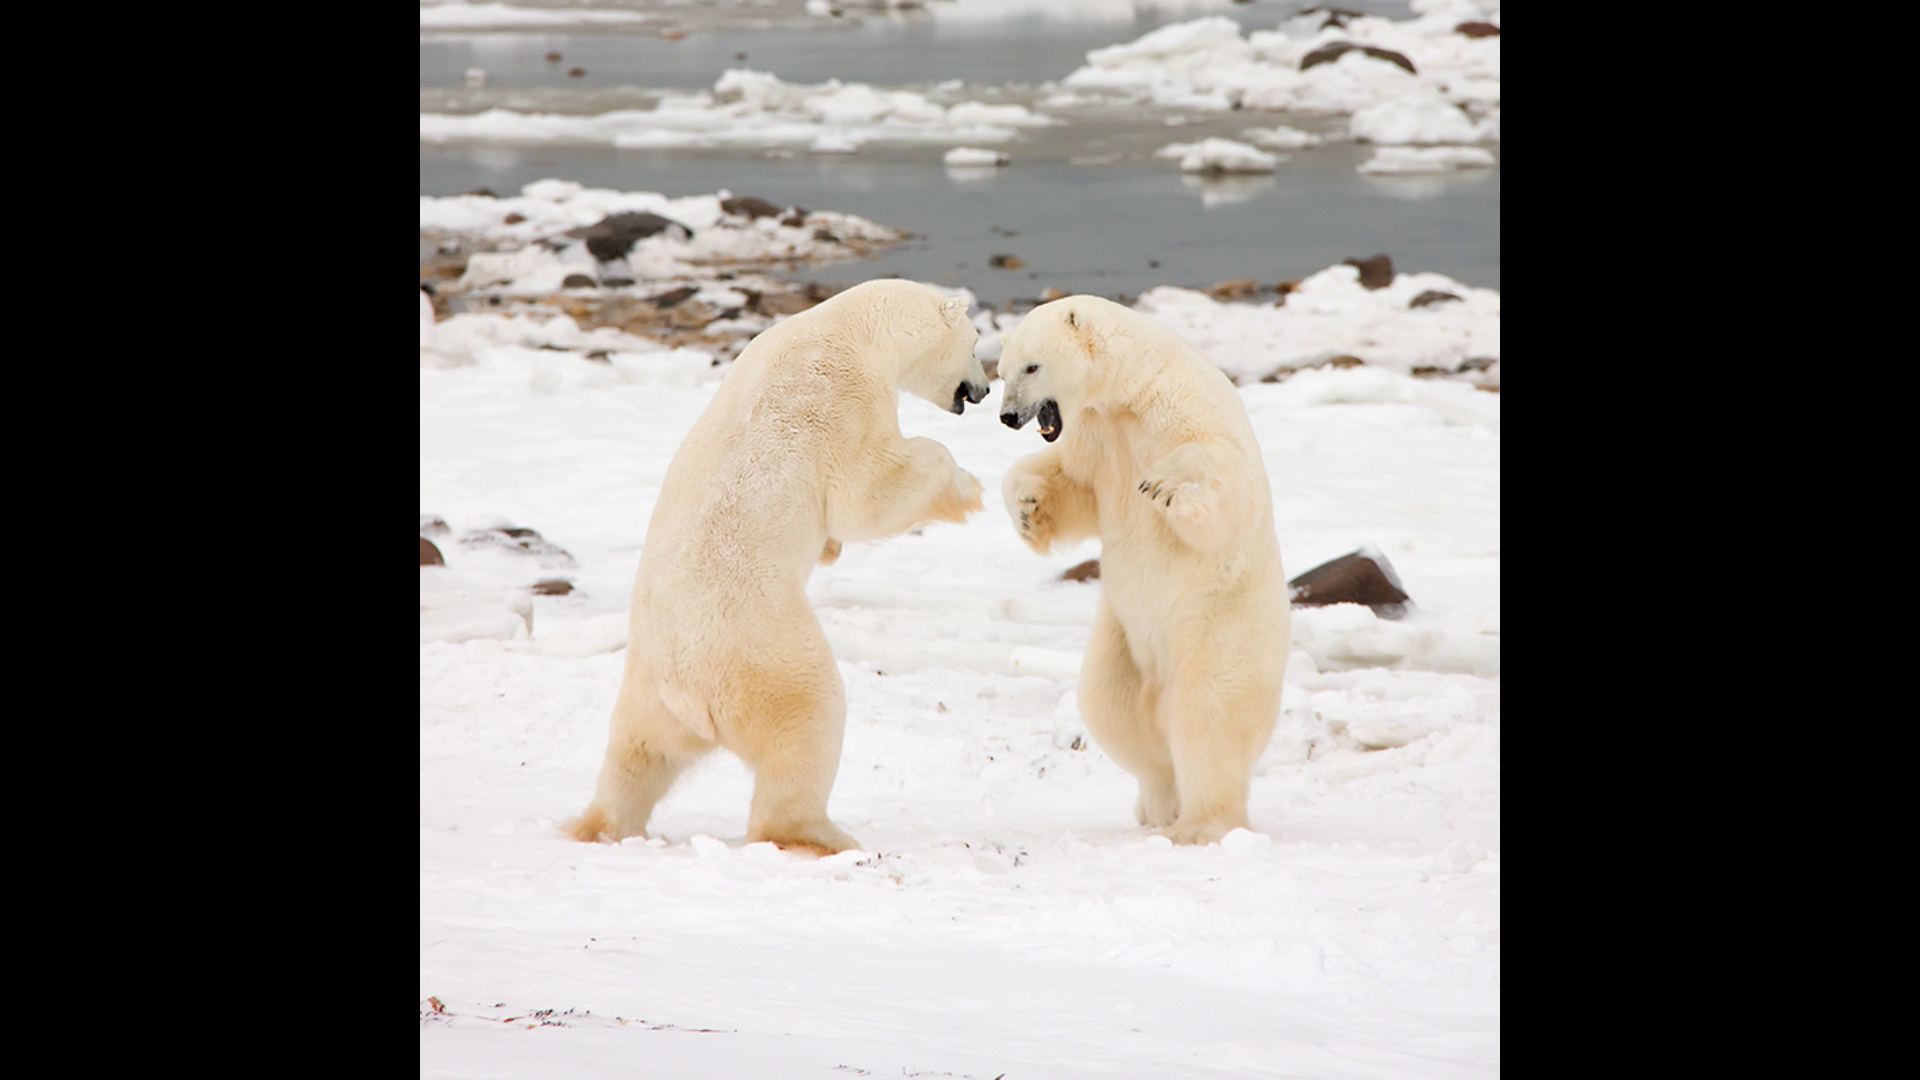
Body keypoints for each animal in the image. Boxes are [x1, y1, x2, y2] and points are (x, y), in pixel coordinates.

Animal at [568, 278, 991, 855]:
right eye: (977, 343)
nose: (985, 390)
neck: (849, 329)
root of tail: (689, 692)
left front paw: (830, 548)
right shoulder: (839, 399)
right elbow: (868, 491)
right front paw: (968, 488)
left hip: (646, 688)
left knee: (637, 754)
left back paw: (602, 825)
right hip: (766, 651)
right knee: (809, 721)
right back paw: (819, 834)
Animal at [997, 294, 1289, 845]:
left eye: (1032, 366)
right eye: (1001, 369)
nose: (1006, 415)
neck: (1131, 393)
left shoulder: (1182, 409)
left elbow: (1225, 479)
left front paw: (1168, 484)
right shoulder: (1096, 435)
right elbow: (1074, 488)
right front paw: (1025, 506)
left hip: (1217, 625)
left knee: (1208, 714)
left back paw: (1199, 825)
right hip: (1121, 638)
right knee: (1110, 706)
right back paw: (1157, 802)